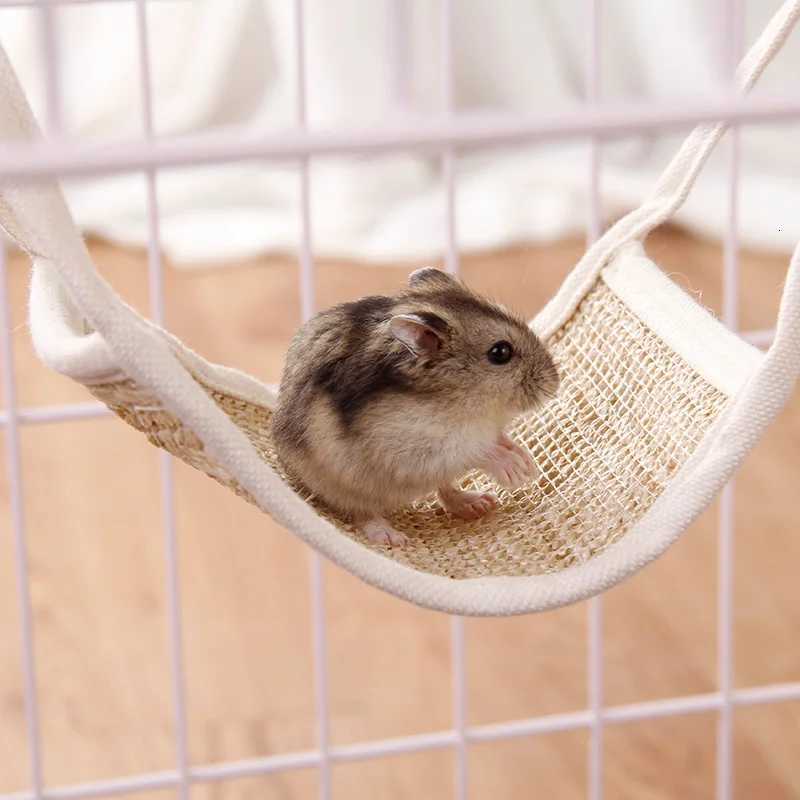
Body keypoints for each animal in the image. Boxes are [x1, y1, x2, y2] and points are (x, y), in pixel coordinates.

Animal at [273, 267, 560, 547]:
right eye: (500, 352)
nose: (554, 384)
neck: (469, 408)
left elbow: (498, 439)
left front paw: (526, 461)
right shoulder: (417, 448)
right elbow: (476, 450)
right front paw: (517, 472)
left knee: (445, 489)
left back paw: (478, 504)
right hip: (342, 481)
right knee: (362, 510)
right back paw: (391, 538)